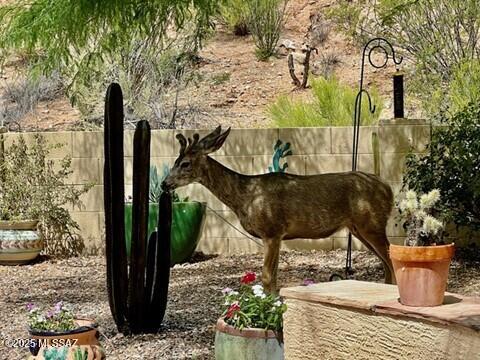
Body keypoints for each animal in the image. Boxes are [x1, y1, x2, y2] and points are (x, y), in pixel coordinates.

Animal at [163, 126, 396, 292]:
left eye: (185, 163)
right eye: (174, 161)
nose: (164, 183)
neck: (244, 196)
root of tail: (388, 188)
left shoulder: (272, 230)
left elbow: (267, 277)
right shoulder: (275, 235)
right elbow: (273, 278)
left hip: (371, 222)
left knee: (392, 261)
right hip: (358, 228)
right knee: (386, 265)